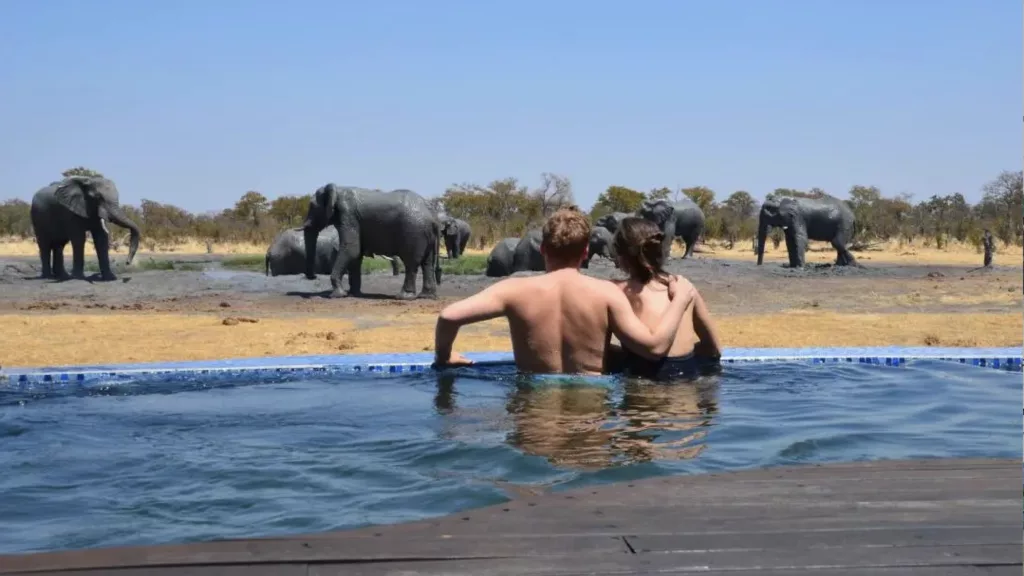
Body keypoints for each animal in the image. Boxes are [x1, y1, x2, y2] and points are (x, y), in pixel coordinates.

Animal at [299, 183, 438, 301]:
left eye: (312, 206)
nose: (313, 277)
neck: (338, 189)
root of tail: (432, 216)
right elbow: (356, 255)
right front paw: (353, 294)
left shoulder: (348, 214)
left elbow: (351, 250)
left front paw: (337, 295)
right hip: (425, 234)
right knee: (427, 263)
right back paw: (426, 296)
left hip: (413, 231)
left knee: (411, 263)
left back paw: (403, 297)